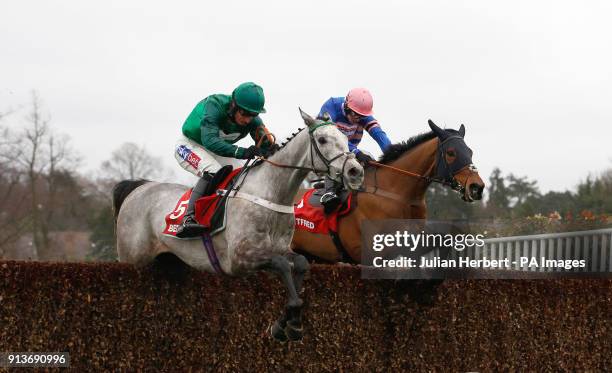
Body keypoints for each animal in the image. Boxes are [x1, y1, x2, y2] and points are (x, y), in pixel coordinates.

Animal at [112, 109, 364, 342]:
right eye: (322, 140)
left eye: (345, 138)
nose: (355, 172)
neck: (270, 194)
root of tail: (138, 187)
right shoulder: (239, 259)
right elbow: (282, 265)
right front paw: (288, 322)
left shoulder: (281, 249)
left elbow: (300, 264)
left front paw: (288, 324)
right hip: (132, 258)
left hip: (169, 260)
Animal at [290, 119, 486, 262]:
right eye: (451, 152)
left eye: (470, 151)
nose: (477, 187)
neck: (397, 194)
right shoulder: (376, 251)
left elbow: (446, 238)